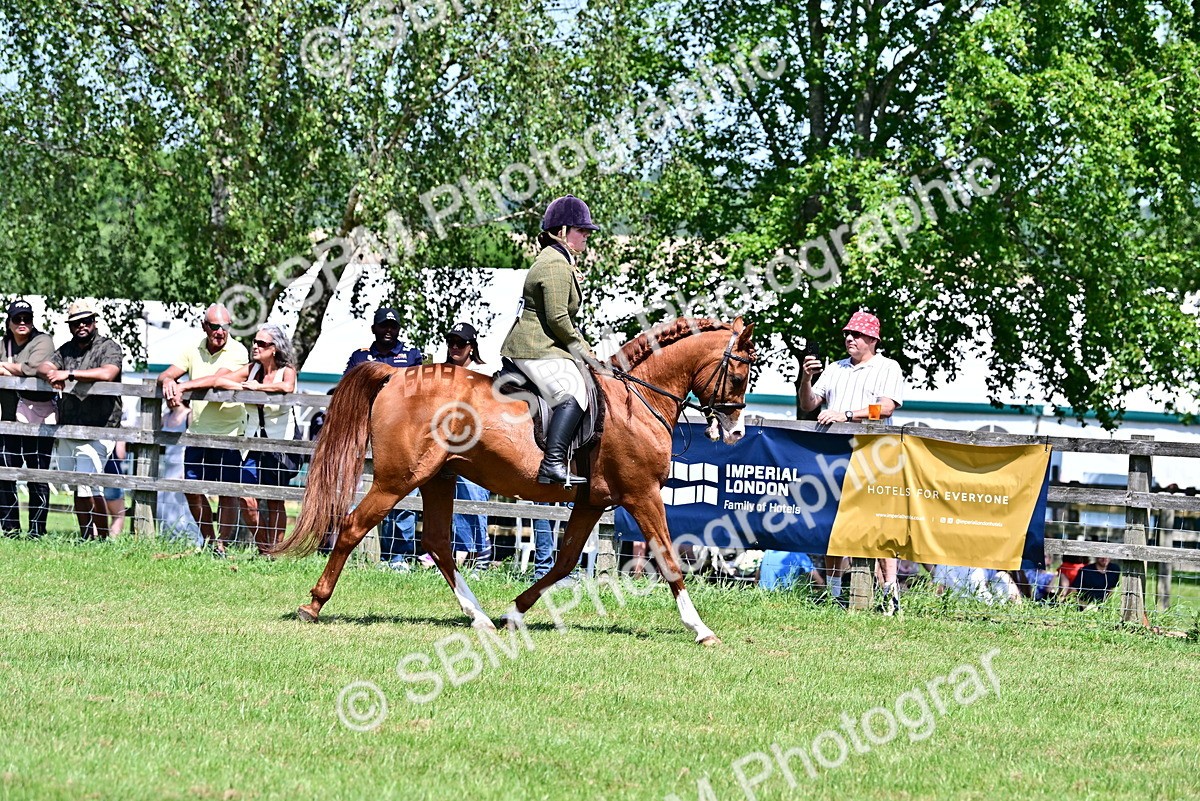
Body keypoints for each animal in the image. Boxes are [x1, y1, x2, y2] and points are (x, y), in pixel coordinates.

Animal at [274, 317, 756, 644]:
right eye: (740, 374)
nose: (736, 433)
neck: (637, 399)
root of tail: (394, 373)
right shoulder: (641, 494)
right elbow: (669, 558)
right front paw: (700, 628)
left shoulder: (593, 501)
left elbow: (563, 562)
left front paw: (514, 612)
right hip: (397, 479)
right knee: (354, 526)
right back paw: (313, 604)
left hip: (438, 477)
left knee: (438, 543)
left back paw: (481, 617)